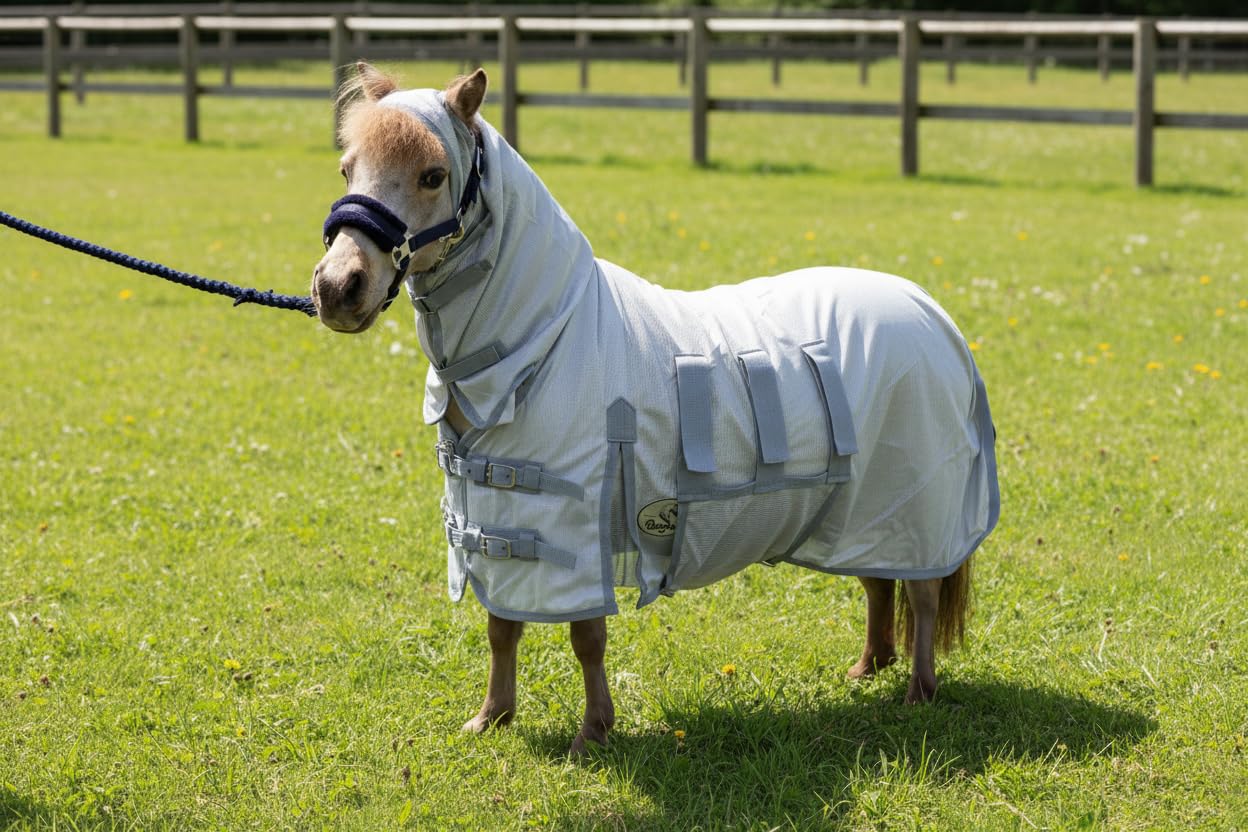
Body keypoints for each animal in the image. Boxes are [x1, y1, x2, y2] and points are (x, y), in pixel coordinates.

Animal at [312, 63, 999, 756]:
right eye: (346, 169)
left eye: (433, 175)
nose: (338, 288)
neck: (546, 340)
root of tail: (930, 310)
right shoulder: (502, 522)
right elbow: (502, 628)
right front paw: (493, 716)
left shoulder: (572, 526)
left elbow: (586, 637)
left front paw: (592, 733)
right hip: (863, 505)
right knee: (878, 577)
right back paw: (867, 668)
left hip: (912, 500)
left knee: (922, 592)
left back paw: (918, 692)